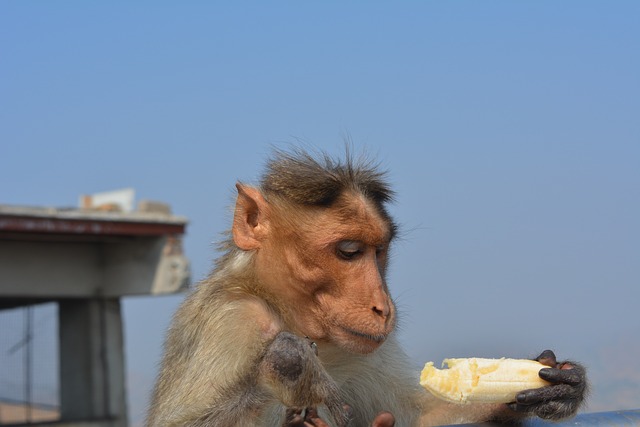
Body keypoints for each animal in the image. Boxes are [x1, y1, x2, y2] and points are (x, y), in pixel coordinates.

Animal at [148, 148, 588, 427]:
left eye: (379, 251)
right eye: (349, 251)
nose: (383, 307)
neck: (284, 308)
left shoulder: (355, 350)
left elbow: (418, 415)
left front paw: (562, 384)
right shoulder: (230, 322)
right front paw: (289, 362)